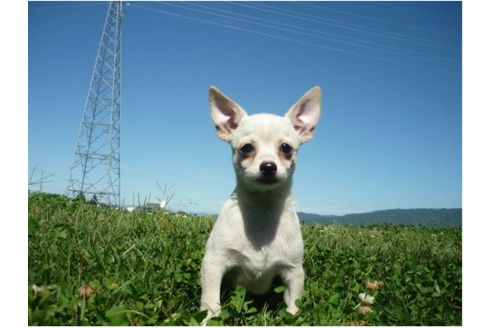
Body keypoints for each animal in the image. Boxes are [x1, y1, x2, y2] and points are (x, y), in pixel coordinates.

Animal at [200, 85, 322, 322]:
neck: (263, 211)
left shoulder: (294, 272)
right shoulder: (214, 264)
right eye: (246, 148)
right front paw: (210, 319)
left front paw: (292, 318)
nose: (268, 166)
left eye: (286, 148)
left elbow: (293, 306)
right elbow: (211, 301)